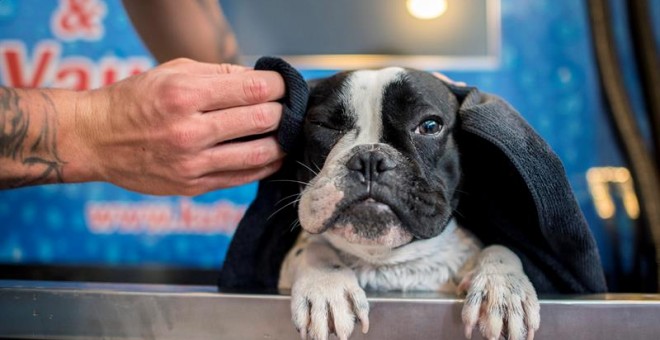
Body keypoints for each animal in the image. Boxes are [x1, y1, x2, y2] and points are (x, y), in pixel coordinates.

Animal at [278, 67, 540, 340]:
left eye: (430, 126)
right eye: (323, 125)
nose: (370, 158)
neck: (389, 259)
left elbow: (500, 248)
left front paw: (503, 287)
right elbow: (310, 247)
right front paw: (325, 286)